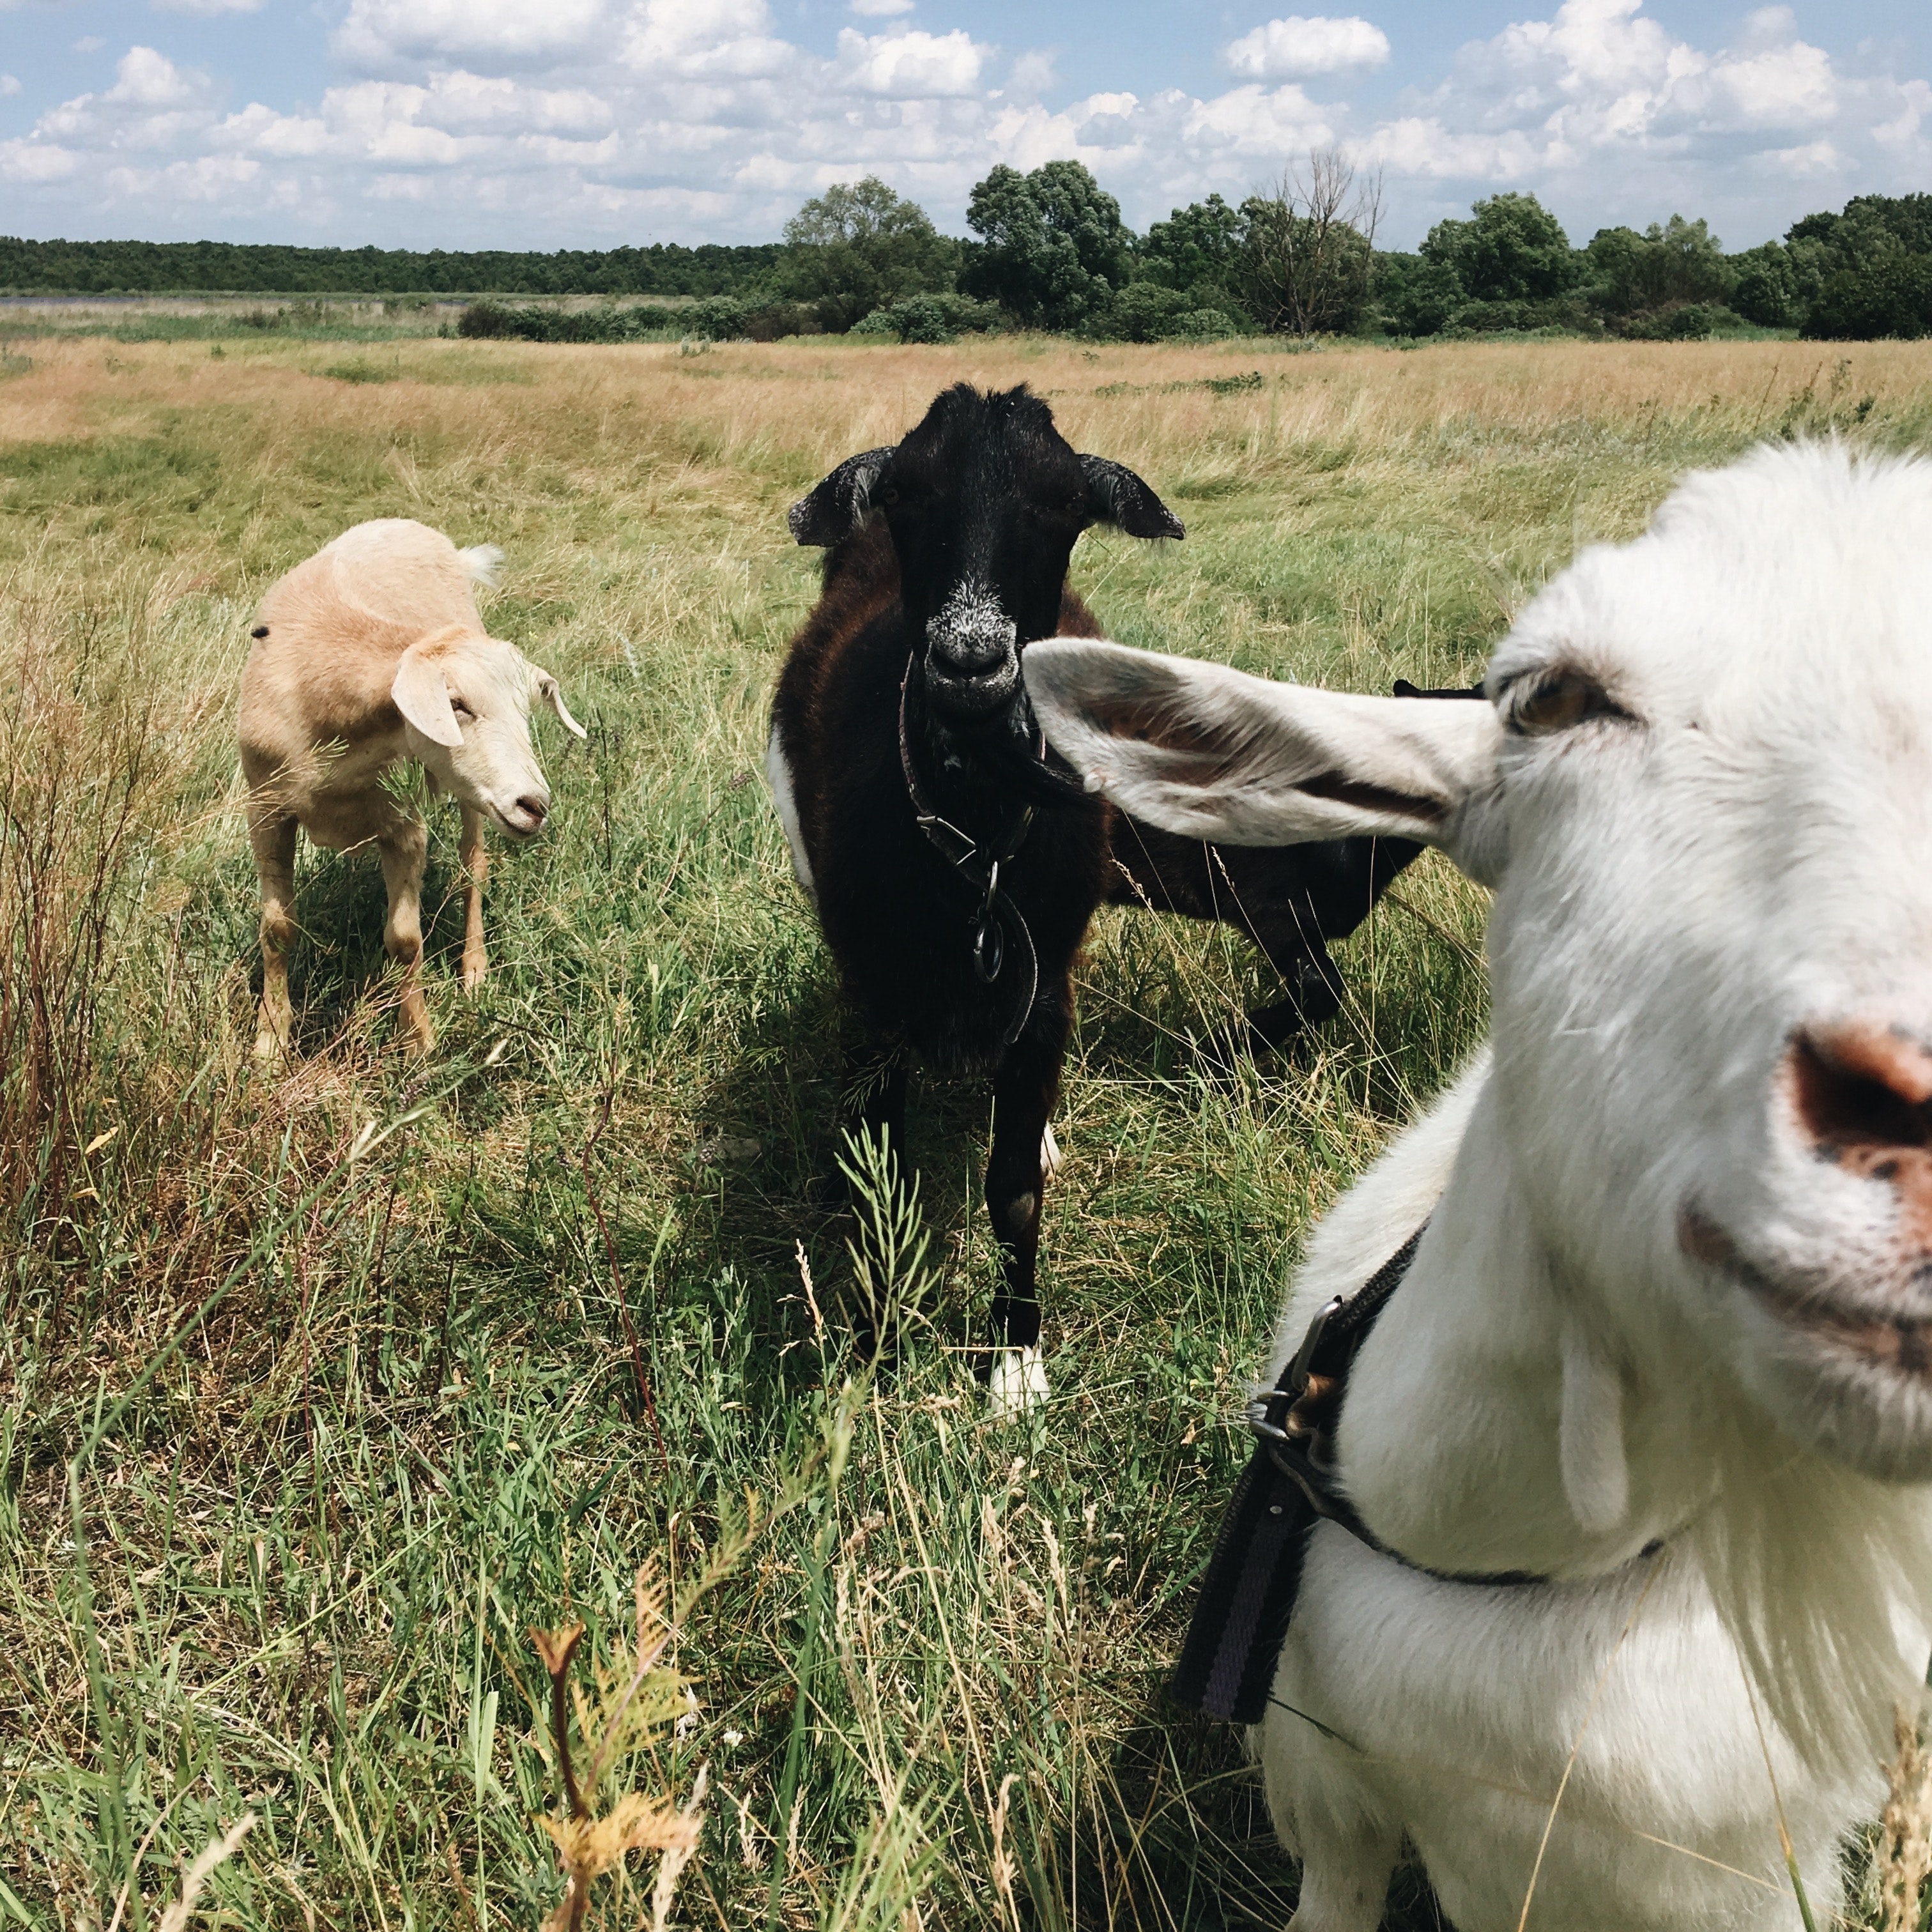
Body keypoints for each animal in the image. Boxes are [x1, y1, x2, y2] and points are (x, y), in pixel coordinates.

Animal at [240, 518, 585, 1056]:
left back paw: (475, 969)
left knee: (473, 866)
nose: (535, 804)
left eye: (526, 712)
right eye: (456, 705)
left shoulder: (403, 824)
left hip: (471, 800)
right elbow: (276, 930)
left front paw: (417, 1042)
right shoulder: (266, 810)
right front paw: (270, 1045)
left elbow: (405, 939)